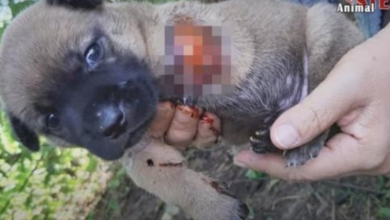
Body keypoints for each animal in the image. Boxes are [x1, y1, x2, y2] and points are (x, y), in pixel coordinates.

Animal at [0, 0, 364, 219]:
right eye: (52, 120)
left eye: (93, 53)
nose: (112, 123)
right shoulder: (141, 153)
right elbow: (168, 181)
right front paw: (214, 207)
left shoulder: (218, 42)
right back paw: (270, 139)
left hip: (323, 31)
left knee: (320, 97)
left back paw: (302, 139)